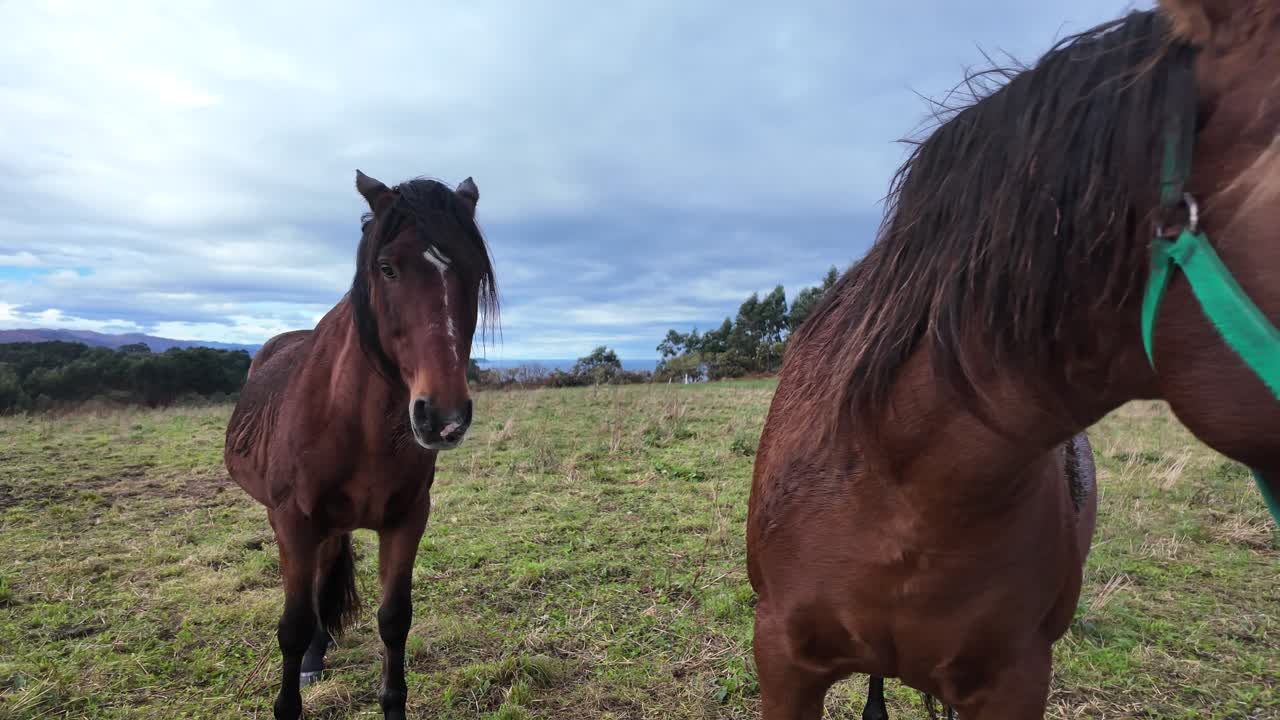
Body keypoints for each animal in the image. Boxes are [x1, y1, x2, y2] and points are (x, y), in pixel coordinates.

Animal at [224, 170, 498, 720]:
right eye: (387, 268)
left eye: (476, 272)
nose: (444, 417)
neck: (355, 423)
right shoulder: (293, 522)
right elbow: (292, 625)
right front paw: (290, 696)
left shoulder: (407, 519)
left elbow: (394, 619)